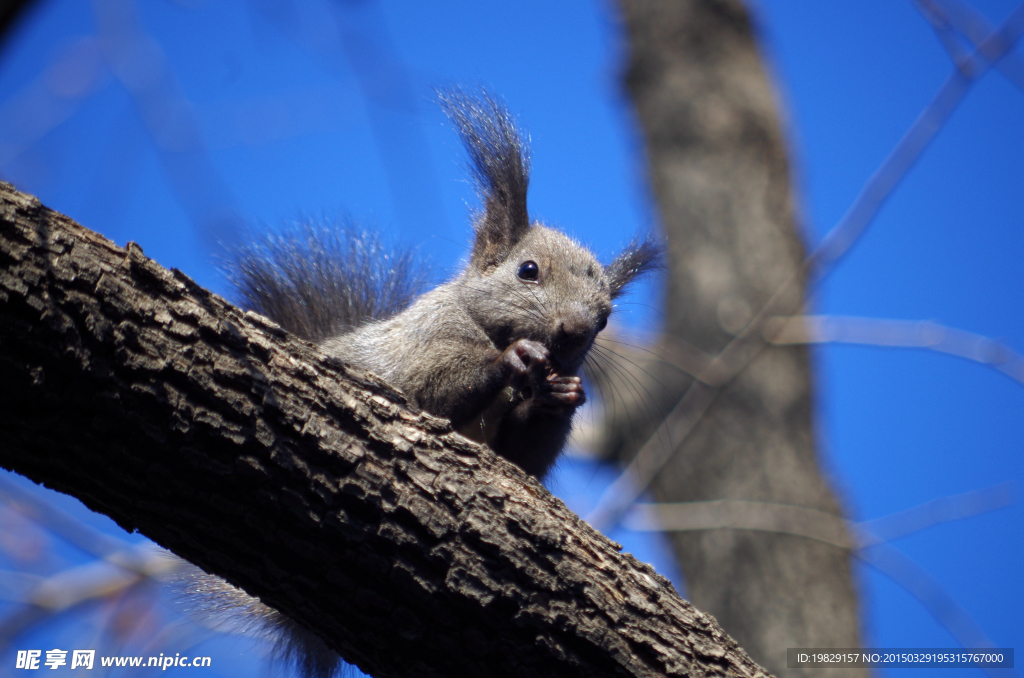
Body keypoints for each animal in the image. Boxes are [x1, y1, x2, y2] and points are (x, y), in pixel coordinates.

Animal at [179, 90, 659, 678]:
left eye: (606, 318)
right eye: (528, 270)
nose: (572, 333)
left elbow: (522, 461)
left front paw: (559, 398)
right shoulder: (417, 347)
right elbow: (429, 388)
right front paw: (513, 357)